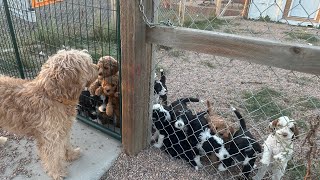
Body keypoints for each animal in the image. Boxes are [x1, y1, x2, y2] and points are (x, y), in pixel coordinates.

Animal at [0, 49, 97, 180]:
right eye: (87, 63)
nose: (98, 68)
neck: (52, 95)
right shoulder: (49, 137)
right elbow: (51, 157)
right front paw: (57, 173)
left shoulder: (63, 128)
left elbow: (66, 144)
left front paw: (71, 155)